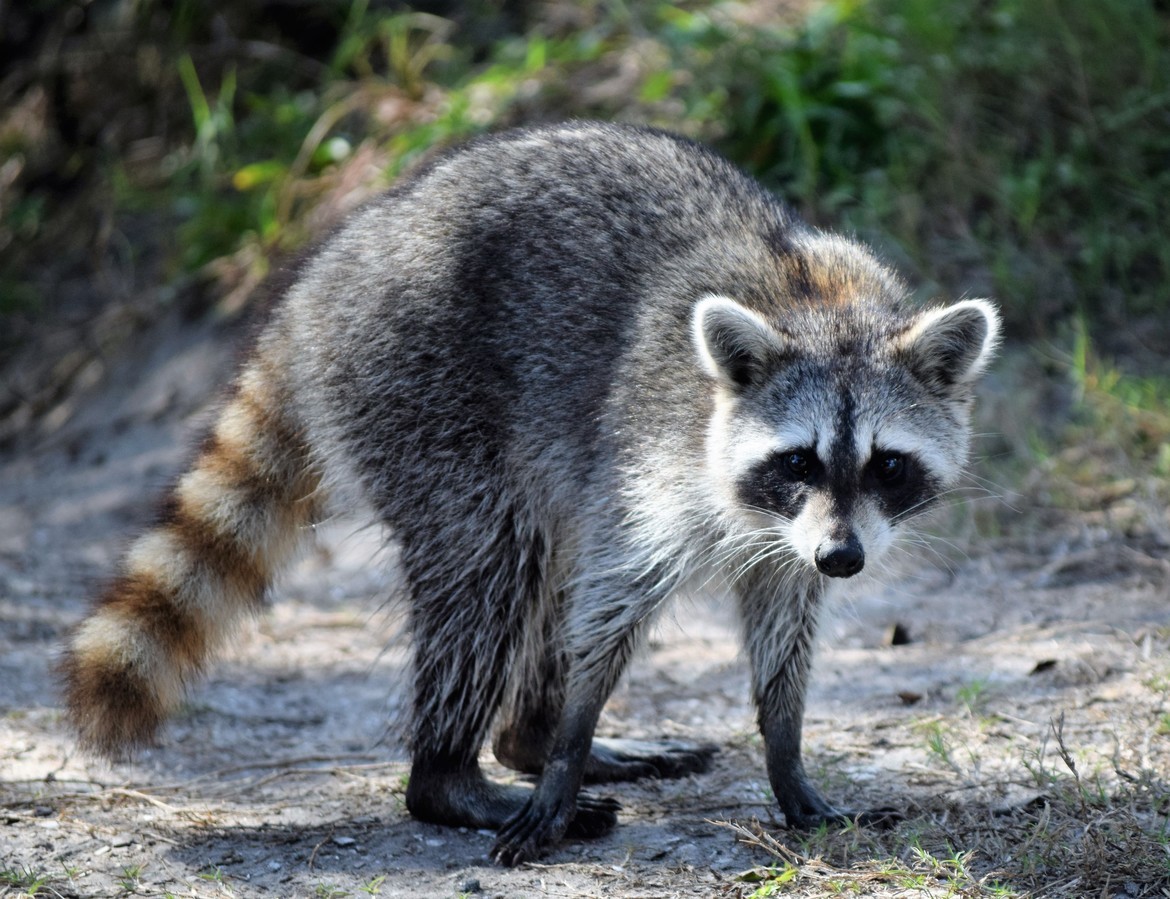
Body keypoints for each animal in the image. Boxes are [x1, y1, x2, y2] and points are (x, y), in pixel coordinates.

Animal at [62, 122, 1000, 865]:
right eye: (799, 460)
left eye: (887, 465)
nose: (843, 557)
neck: (824, 308)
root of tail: (318, 287)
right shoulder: (655, 458)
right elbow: (614, 597)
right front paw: (570, 739)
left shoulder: (789, 538)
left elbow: (782, 622)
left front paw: (785, 752)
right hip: (419, 392)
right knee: (492, 568)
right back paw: (455, 774)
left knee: (549, 562)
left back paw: (525, 735)